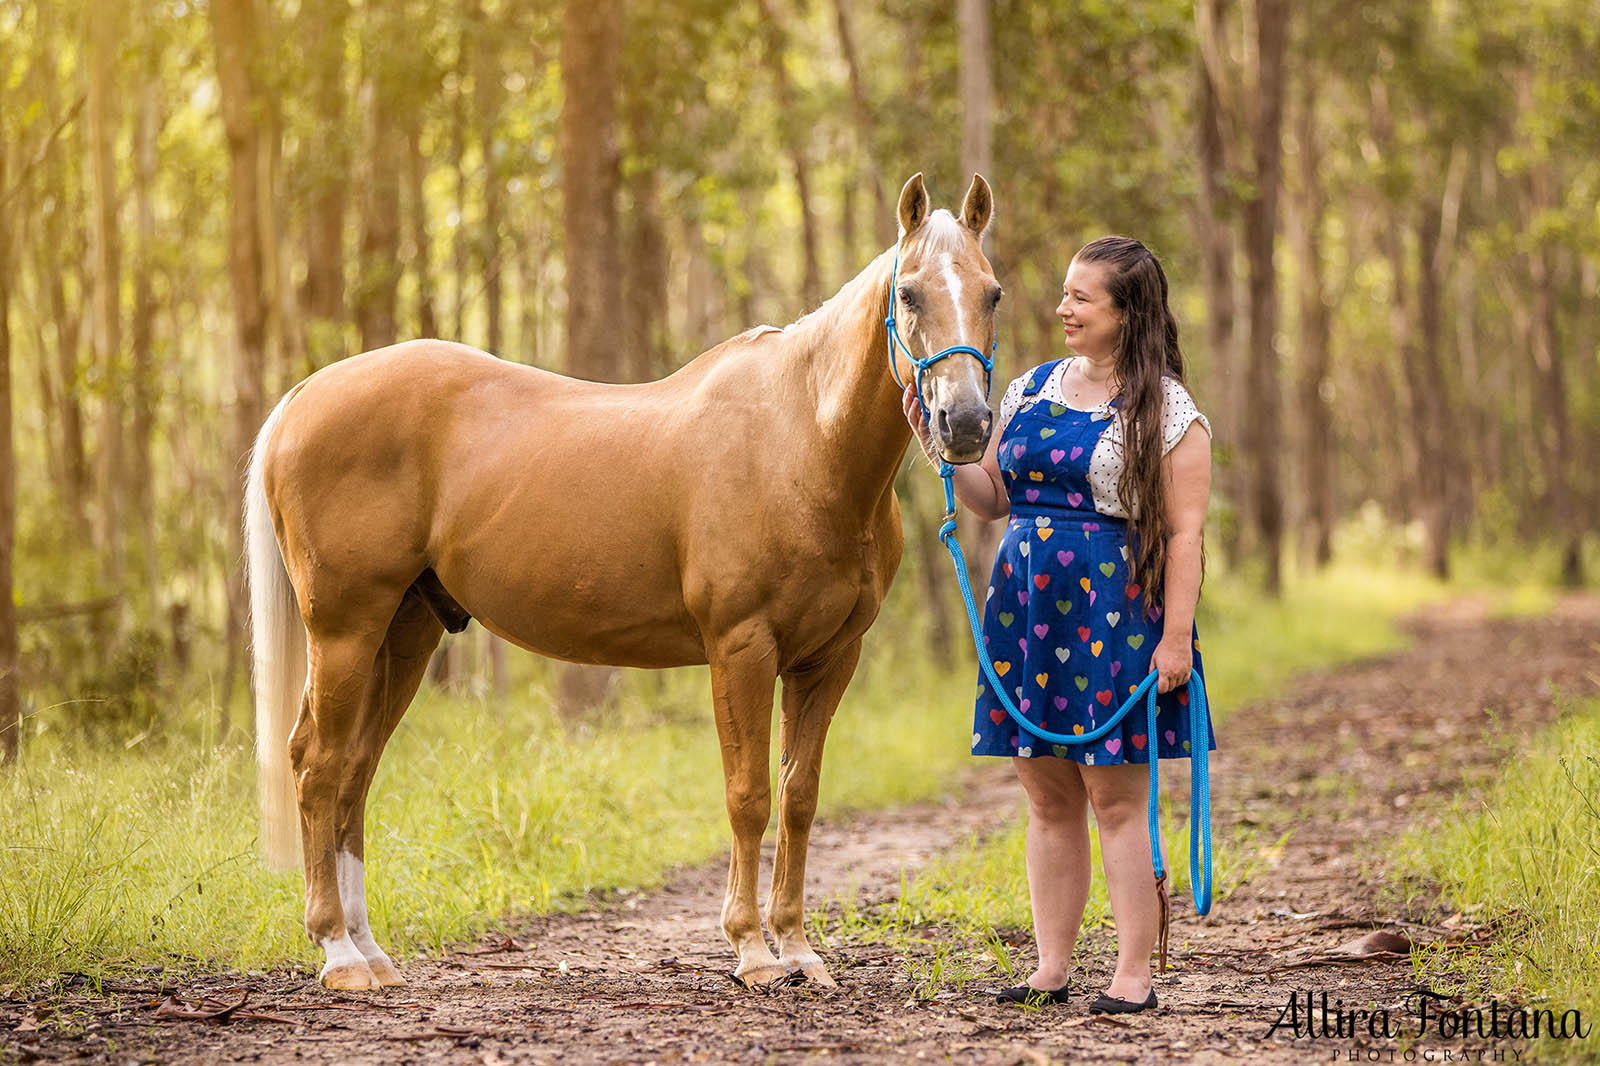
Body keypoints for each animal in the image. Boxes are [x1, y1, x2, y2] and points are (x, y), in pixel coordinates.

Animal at [248, 170, 998, 985]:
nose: (965, 424)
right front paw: (752, 951)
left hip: (404, 632)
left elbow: (799, 797)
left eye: (992, 294)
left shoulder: (829, 659)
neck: (801, 441)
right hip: (346, 629)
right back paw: (337, 952)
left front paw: (799, 950)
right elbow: (748, 796)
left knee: (355, 770)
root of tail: (302, 398)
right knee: (319, 767)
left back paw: (369, 950)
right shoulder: (742, 648)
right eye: (911, 294)